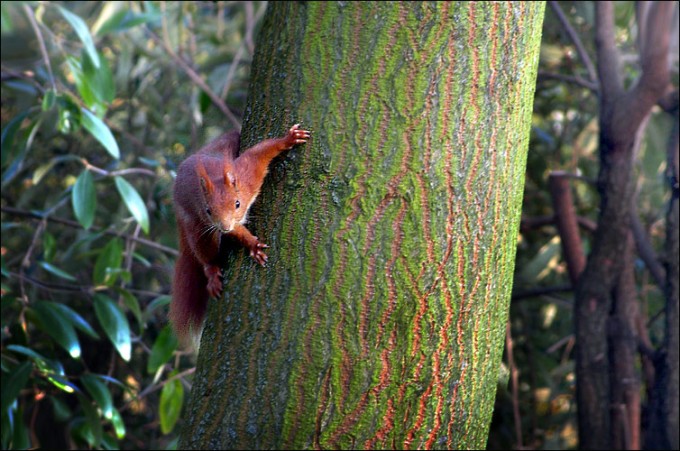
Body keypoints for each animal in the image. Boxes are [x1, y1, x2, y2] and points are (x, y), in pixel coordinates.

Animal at [169, 124, 311, 339]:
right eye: (208, 210)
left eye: (237, 203)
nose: (225, 226)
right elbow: (236, 232)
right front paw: (253, 244)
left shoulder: (247, 176)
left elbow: (260, 153)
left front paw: (288, 139)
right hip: (196, 226)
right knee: (204, 252)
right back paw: (211, 271)